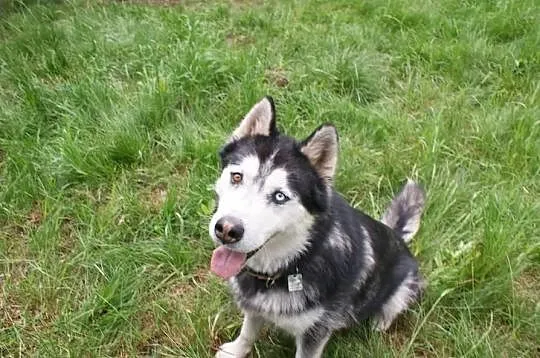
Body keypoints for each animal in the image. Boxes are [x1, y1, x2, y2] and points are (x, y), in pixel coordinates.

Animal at [210, 96, 426, 356]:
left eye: (280, 196)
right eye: (237, 177)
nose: (226, 230)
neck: (294, 261)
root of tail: (396, 234)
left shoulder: (315, 332)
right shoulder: (254, 305)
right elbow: (248, 329)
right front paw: (237, 350)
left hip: (405, 286)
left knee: (393, 306)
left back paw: (379, 321)